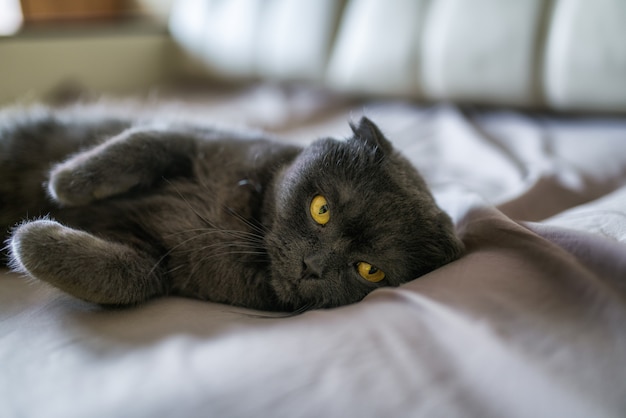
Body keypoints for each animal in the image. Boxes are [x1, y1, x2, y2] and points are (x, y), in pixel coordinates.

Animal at [1, 106, 464, 312]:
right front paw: (65, 183)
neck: (242, 220)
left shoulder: (159, 262)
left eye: (369, 270)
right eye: (321, 209)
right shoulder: (194, 138)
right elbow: (140, 144)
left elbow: (125, 278)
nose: (313, 266)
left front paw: (31, 236)